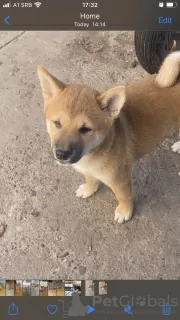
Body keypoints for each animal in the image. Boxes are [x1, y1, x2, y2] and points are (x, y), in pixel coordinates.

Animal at [37, 51, 180, 224]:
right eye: (57, 123)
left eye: (85, 129)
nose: (61, 154)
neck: (93, 153)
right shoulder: (89, 170)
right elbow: (90, 179)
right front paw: (89, 189)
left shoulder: (120, 180)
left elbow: (124, 197)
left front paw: (124, 211)